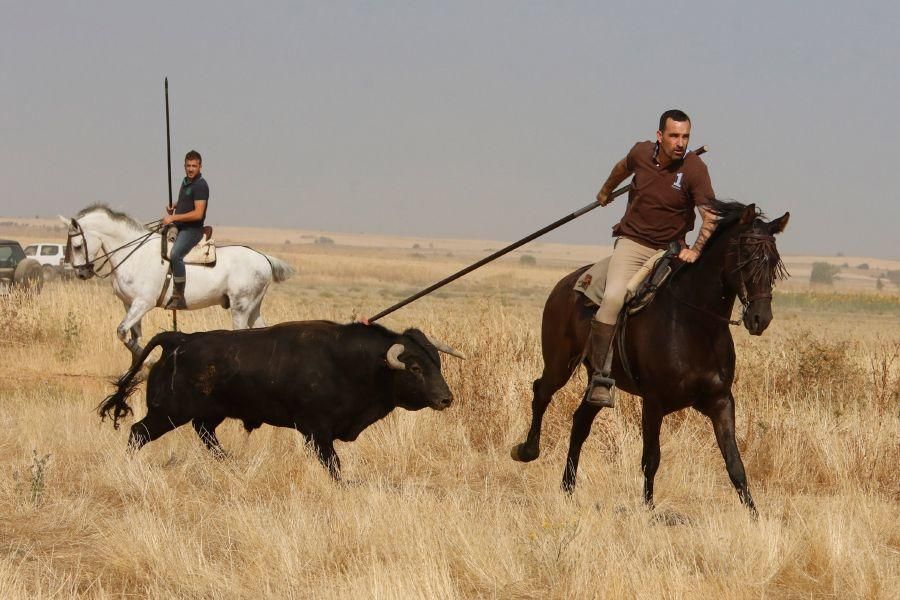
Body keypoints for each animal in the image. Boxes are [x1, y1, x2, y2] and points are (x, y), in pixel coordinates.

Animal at [63, 206, 296, 356]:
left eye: (77, 246)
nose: (81, 273)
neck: (134, 253)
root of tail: (263, 258)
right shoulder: (129, 304)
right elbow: (133, 336)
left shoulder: (143, 303)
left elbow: (122, 332)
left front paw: (149, 361)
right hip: (253, 307)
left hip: (241, 308)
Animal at [99, 322, 464, 480]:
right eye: (415, 368)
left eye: (436, 363)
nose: (446, 398)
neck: (354, 363)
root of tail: (180, 339)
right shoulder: (317, 431)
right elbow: (333, 465)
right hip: (167, 413)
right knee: (138, 432)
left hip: (208, 413)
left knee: (206, 435)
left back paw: (231, 464)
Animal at [512, 200, 788, 516]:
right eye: (746, 256)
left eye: (774, 261)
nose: (760, 318)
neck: (696, 323)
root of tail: (565, 284)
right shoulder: (653, 403)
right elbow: (651, 459)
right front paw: (647, 511)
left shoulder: (720, 402)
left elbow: (735, 464)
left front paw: (755, 517)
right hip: (559, 364)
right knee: (541, 392)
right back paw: (526, 451)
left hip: (596, 382)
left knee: (580, 422)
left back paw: (567, 488)